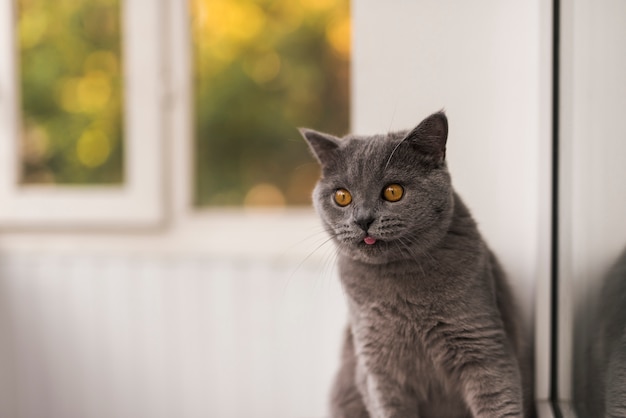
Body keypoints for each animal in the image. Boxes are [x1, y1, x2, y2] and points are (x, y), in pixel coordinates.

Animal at [300, 112, 528, 418]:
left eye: (393, 192)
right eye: (342, 196)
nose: (362, 219)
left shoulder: (483, 345)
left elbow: (500, 403)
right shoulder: (377, 369)